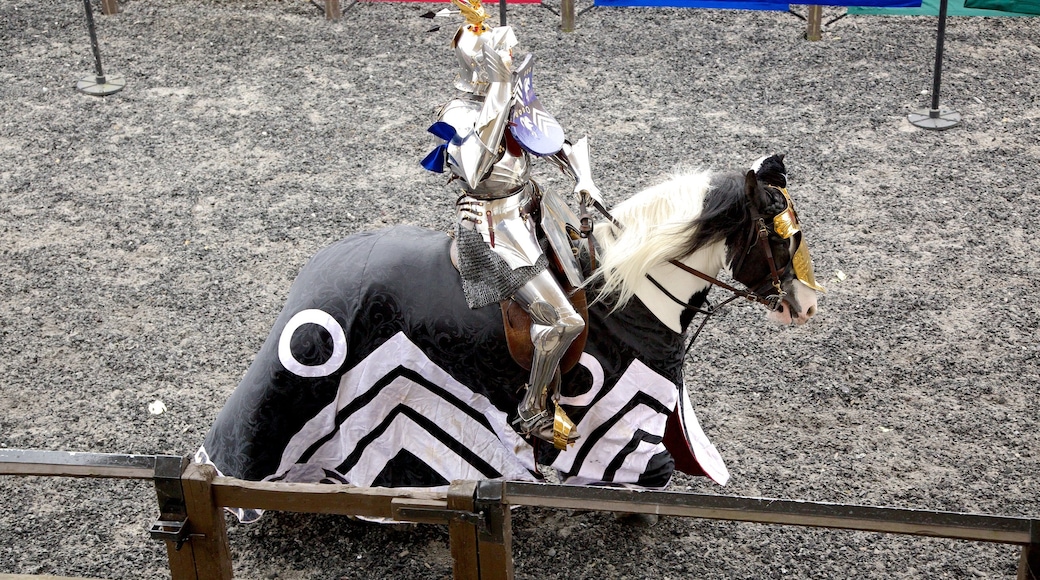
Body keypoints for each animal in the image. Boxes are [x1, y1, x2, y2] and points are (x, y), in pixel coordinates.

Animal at [195, 155, 819, 517]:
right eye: (783, 236)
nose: (807, 305)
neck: (628, 289)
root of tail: (316, 276)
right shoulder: (622, 420)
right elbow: (650, 469)